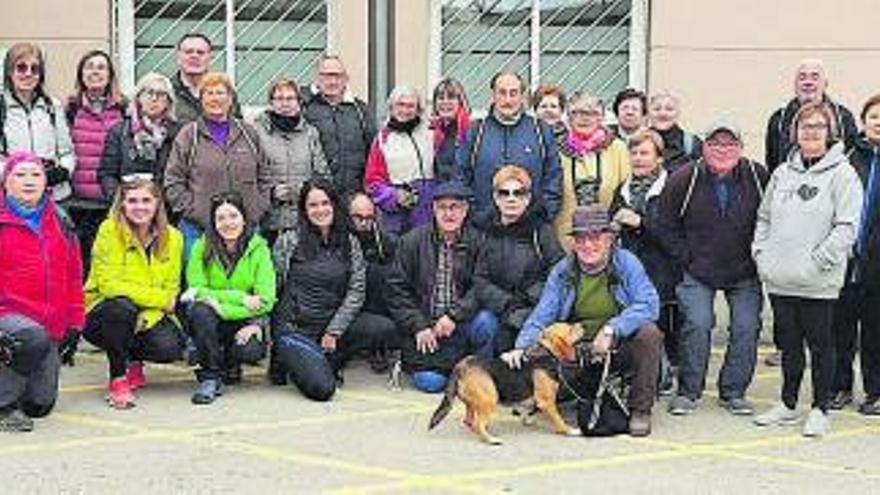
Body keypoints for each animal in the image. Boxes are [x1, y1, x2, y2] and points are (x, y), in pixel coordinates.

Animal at [426, 322, 584, 446]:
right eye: (570, 329)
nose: (582, 325)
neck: (546, 352)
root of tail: (462, 365)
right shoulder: (547, 402)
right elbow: (559, 420)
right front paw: (569, 430)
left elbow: (530, 409)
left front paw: (527, 419)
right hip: (490, 399)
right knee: (477, 424)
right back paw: (491, 439)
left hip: (474, 402)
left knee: (469, 421)